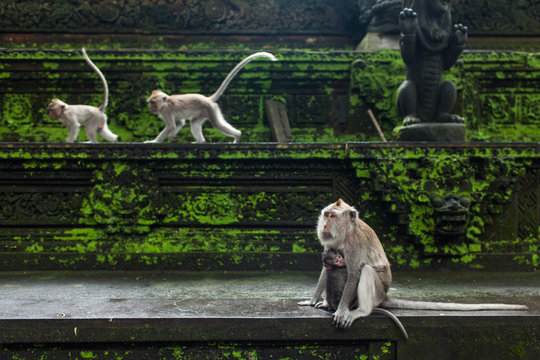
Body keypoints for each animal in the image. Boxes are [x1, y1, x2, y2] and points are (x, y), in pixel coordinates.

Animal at [302, 200, 528, 330]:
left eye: (332, 216)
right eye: (326, 214)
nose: (324, 225)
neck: (346, 233)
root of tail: (384, 296)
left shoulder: (355, 244)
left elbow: (355, 273)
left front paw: (340, 311)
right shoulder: (332, 244)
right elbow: (326, 267)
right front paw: (314, 300)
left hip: (376, 293)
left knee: (366, 270)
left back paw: (362, 311)